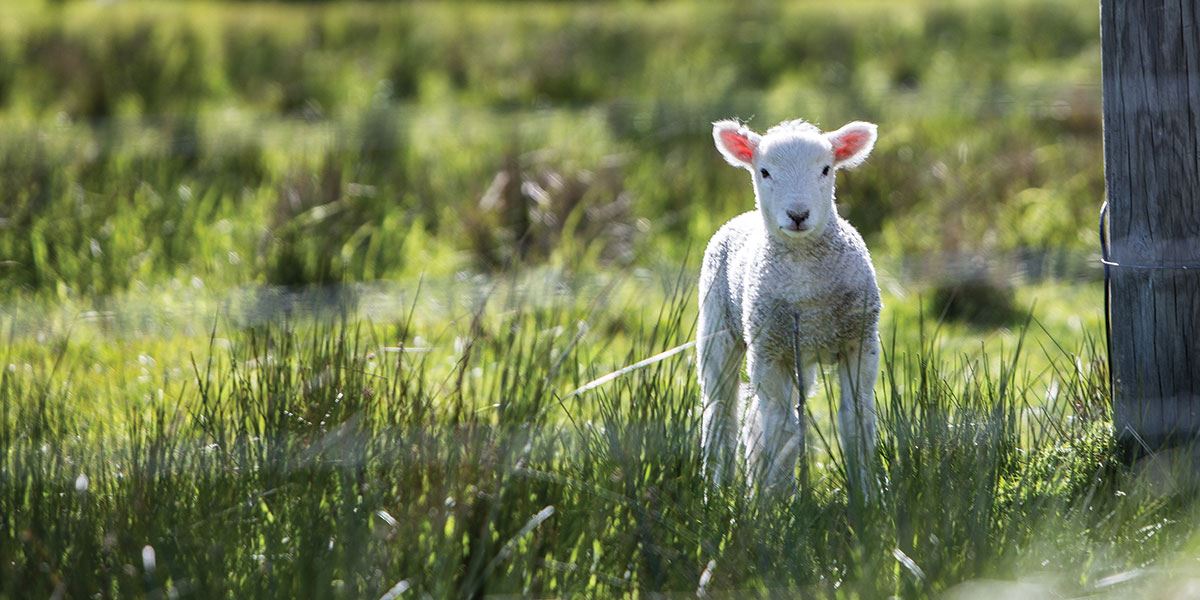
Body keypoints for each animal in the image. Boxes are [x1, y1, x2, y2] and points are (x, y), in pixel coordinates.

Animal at [700, 117, 888, 492]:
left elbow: (856, 419)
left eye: (826, 169)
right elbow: (779, 428)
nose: (798, 214)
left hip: (803, 356)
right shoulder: (770, 352)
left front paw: (866, 494)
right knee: (722, 412)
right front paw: (774, 500)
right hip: (719, 330)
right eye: (765, 171)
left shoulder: (860, 342)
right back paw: (717, 489)